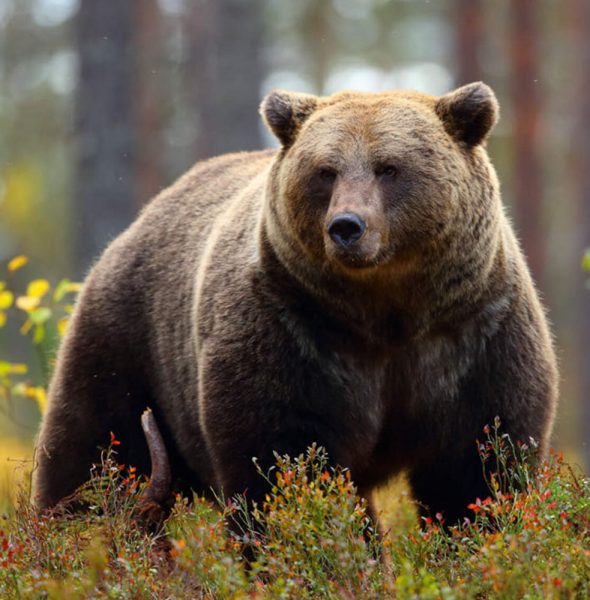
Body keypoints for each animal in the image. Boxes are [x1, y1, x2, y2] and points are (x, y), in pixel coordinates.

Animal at [32, 83, 560, 524]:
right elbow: (283, 462)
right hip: (129, 341)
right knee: (94, 451)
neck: (388, 312)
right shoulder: (292, 330)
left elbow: (478, 467)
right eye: (326, 171)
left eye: (389, 168)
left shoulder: (474, 333)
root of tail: (142, 219)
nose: (346, 226)